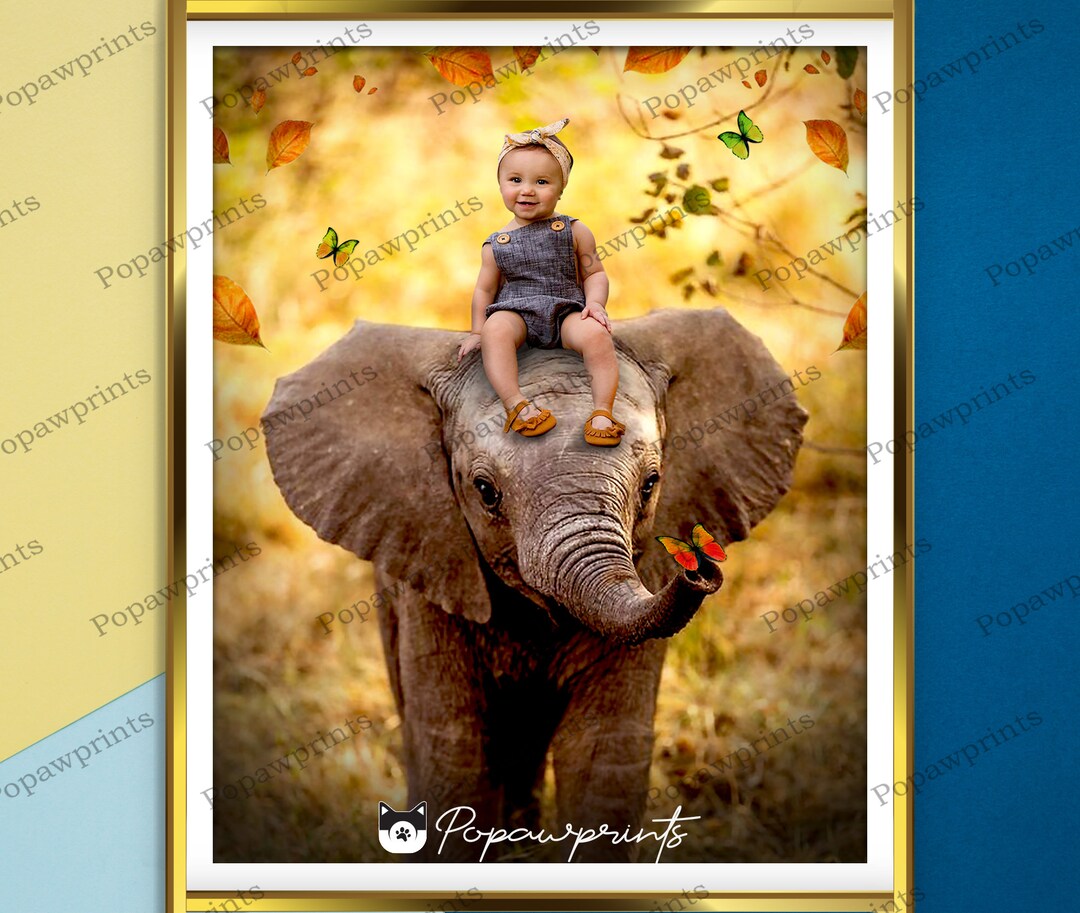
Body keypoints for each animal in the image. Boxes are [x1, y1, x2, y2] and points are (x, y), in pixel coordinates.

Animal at [263, 307, 806, 862]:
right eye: (485, 491)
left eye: (652, 485)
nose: (697, 563)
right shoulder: (430, 576)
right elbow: (456, 751)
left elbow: (601, 753)